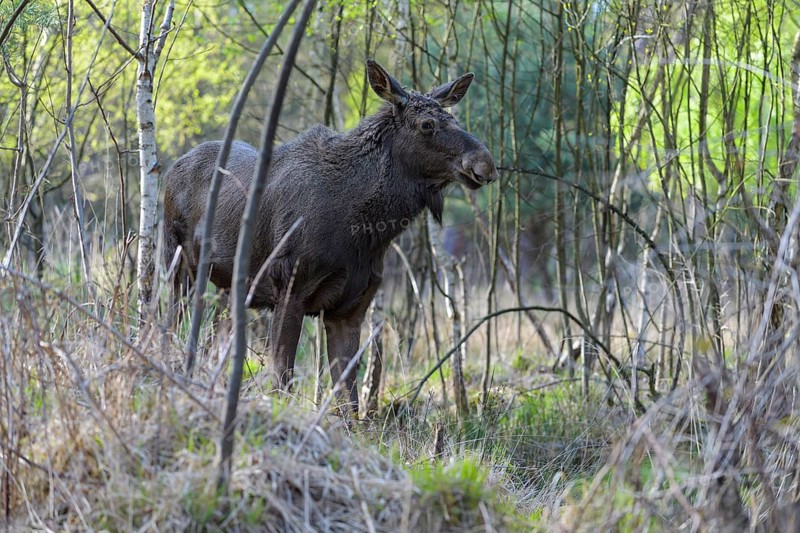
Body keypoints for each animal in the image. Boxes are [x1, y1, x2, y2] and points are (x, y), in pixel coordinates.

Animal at [163, 59, 497, 412]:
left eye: (454, 119)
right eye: (427, 124)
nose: (485, 164)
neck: (365, 229)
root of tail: (174, 166)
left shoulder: (350, 308)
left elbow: (348, 400)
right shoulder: (289, 287)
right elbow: (283, 379)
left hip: (228, 287)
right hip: (178, 266)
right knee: (167, 324)